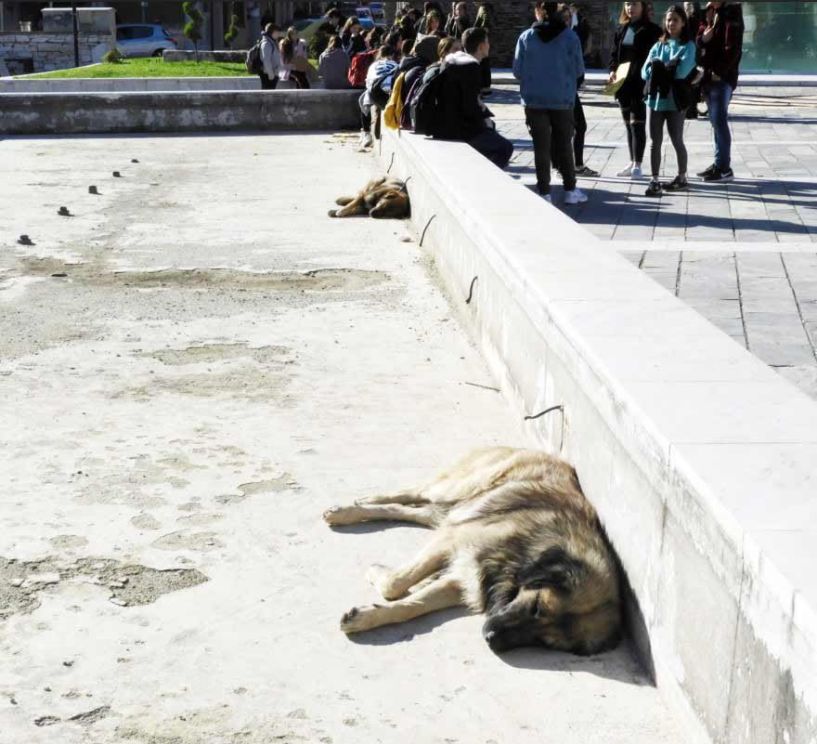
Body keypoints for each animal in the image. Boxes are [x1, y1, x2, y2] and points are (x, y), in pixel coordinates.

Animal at [322, 444, 620, 652]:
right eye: (537, 607)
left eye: (547, 641)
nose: (491, 639)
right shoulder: (454, 541)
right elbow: (395, 584)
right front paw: (377, 574)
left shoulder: (468, 579)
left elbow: (413, 604)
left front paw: (369, 616)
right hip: (458, 488)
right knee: (411, 493)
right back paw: (353, 507)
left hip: (450, 509)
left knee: (411, 510)